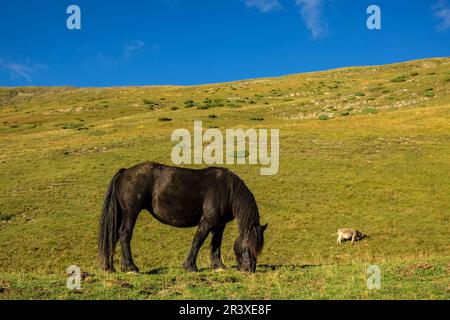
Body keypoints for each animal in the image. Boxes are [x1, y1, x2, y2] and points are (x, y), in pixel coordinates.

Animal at [98, 162, 268, 272]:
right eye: (248, 242)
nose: (249, 269)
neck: (227, 189)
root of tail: (124, 172)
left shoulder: (219, 225)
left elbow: (216, 245)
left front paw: (218, 266)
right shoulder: (207, 221)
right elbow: (197, 241)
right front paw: (190, 266)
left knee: (113, 236)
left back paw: (111, 267)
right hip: (131, 212)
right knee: (124, 234)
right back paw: (130, 267)